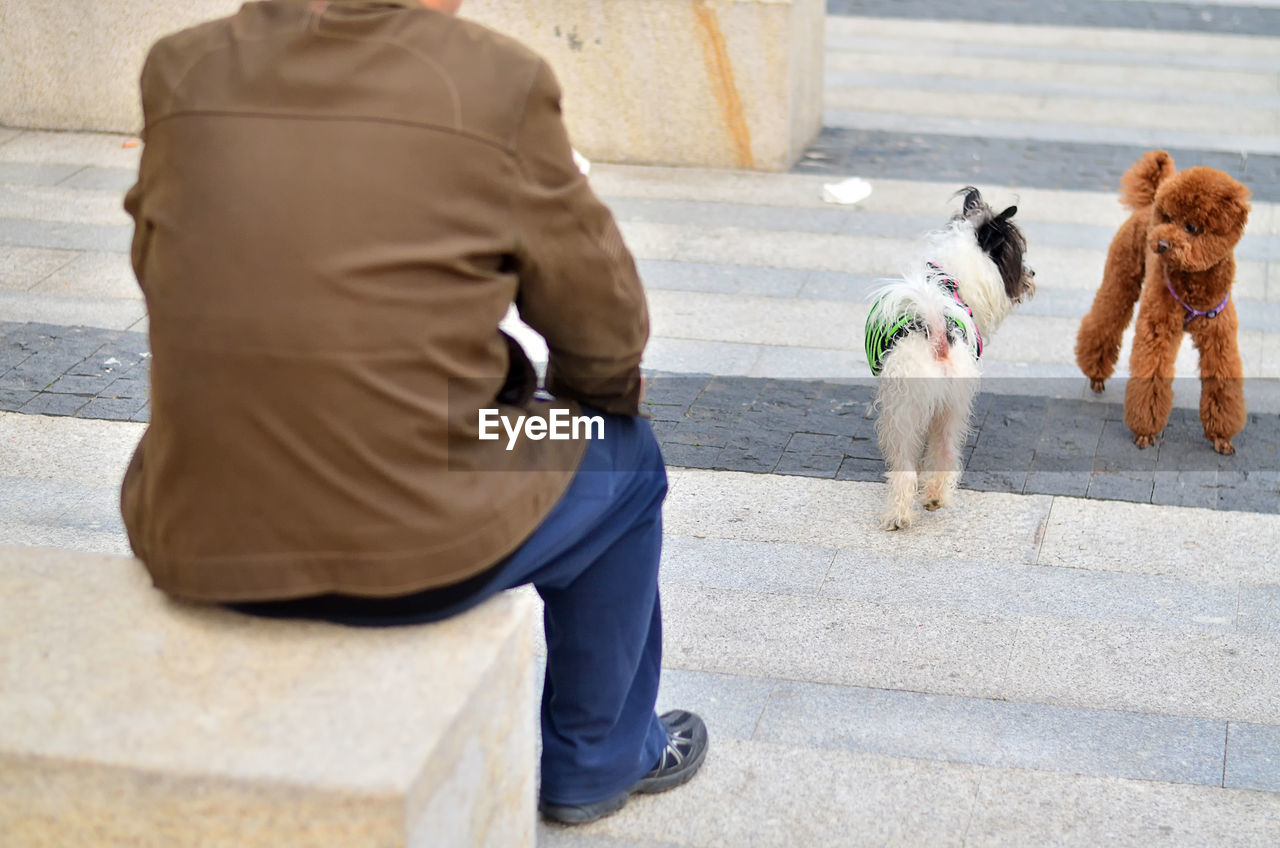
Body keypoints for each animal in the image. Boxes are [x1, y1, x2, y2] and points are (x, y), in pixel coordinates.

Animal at [865, 189, 1034, 532]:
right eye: (1017, 257)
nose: (1032, 274)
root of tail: (939, 335)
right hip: (953, 406)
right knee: (945, 452)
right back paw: (934, 497)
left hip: (902, 411)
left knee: (905, 464)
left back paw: (898, 516)